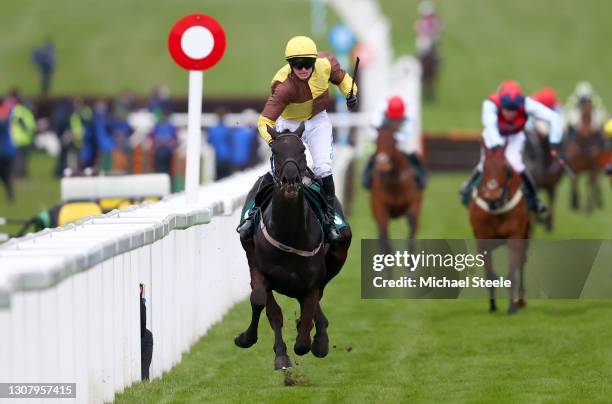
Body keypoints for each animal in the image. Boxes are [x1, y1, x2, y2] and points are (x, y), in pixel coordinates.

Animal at [237, 37, 356, 370]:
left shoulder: (312, 280)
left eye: (302, 151)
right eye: (275, 152)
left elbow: (308, 313)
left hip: (338, 256)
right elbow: (264, 305)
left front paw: (314, 342)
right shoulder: (261, 270)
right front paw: (275, 352)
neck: (290, 232)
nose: (291, 181)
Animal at [364, 96, 426, 252]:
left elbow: (411, 229)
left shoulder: (414, 204)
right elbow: (385, 240)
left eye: (393, 141)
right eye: (377, 141)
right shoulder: (380, 209)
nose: (383, 165)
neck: (395, 182)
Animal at [468, 148, 532, 316]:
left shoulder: (515, 237)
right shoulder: (483, 241)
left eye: (505, 168)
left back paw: (520, 300)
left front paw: (511, 307)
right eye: (483, 168)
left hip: (526, 234)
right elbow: (489, 274)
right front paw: (492, 307)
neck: (496, 207)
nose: (492, 194)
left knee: (522, 262)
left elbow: (512, 273)